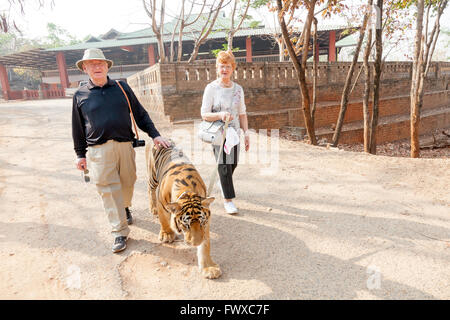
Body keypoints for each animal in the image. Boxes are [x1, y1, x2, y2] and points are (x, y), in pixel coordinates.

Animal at [145, 144, 222, 278]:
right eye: (186, 225)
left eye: (201, 223)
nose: (196, 243)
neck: (188, 191)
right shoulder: (162, 204)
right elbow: (164, 220)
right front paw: (167, 234)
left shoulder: (206, 223)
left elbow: (206, 245)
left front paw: (209, 267)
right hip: (153, 176)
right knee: (150, 189)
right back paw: (153, 208)